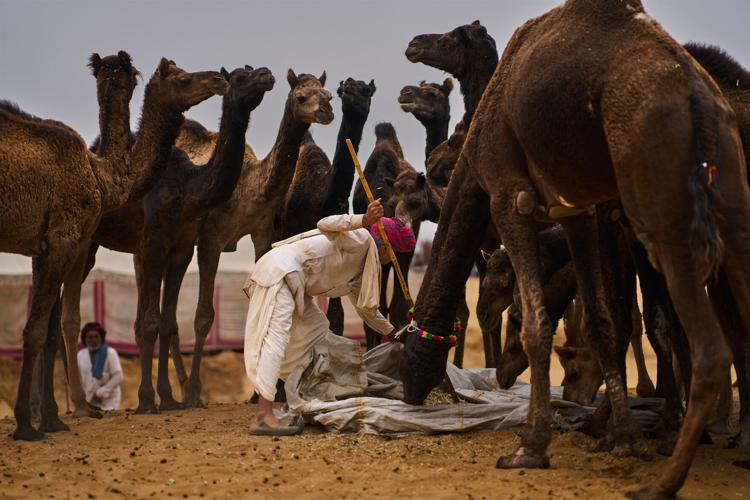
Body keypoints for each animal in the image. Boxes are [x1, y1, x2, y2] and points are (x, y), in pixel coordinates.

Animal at [61, 63, 260, 415]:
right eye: (240, 76)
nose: (266, 75)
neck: (188, 186)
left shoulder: (180, 249)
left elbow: (166, 321)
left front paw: (168, 399)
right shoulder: (153, 243)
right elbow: (151, 322)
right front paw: (146, 400)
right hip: (86, 241)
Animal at [172, 70, 333, 406]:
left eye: (328, 94)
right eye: (302, 96)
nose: (326, 111)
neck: (250, 188)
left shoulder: (262, 234)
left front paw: (261, 392)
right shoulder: (210, 240)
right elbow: (203, 315)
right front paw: (195, 392)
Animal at [401, 2, 749, 498]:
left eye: (407, 349)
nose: (411, 392)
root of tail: (699, 97)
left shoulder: (511, 195)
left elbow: (539, 324)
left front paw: (532, 446)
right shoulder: (577, 212)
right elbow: (603, 322)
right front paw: (624, 439)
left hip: (658, 199)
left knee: (709, 346)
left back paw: (664, 479)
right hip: (731, 198)